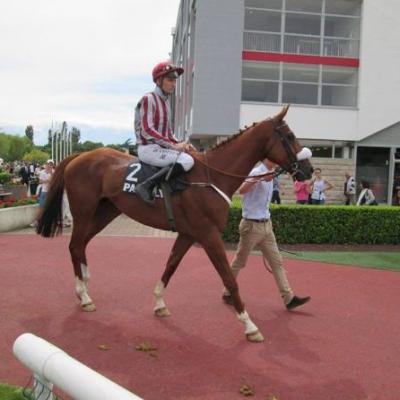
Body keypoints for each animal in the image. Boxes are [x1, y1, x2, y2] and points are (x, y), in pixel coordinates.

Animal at [36, 104, 312, 342]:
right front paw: (249, 325)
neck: (212, 176)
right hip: (83, 211)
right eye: (290, 136)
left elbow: (171, 264)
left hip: (106, 211)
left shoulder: (189, 234)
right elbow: (229, 278)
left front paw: (159, 303)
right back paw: (84, 296)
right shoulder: (209, 235)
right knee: (75, 245)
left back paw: (83, 286)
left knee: (81, 244)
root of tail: (79, 156)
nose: (308, 170)